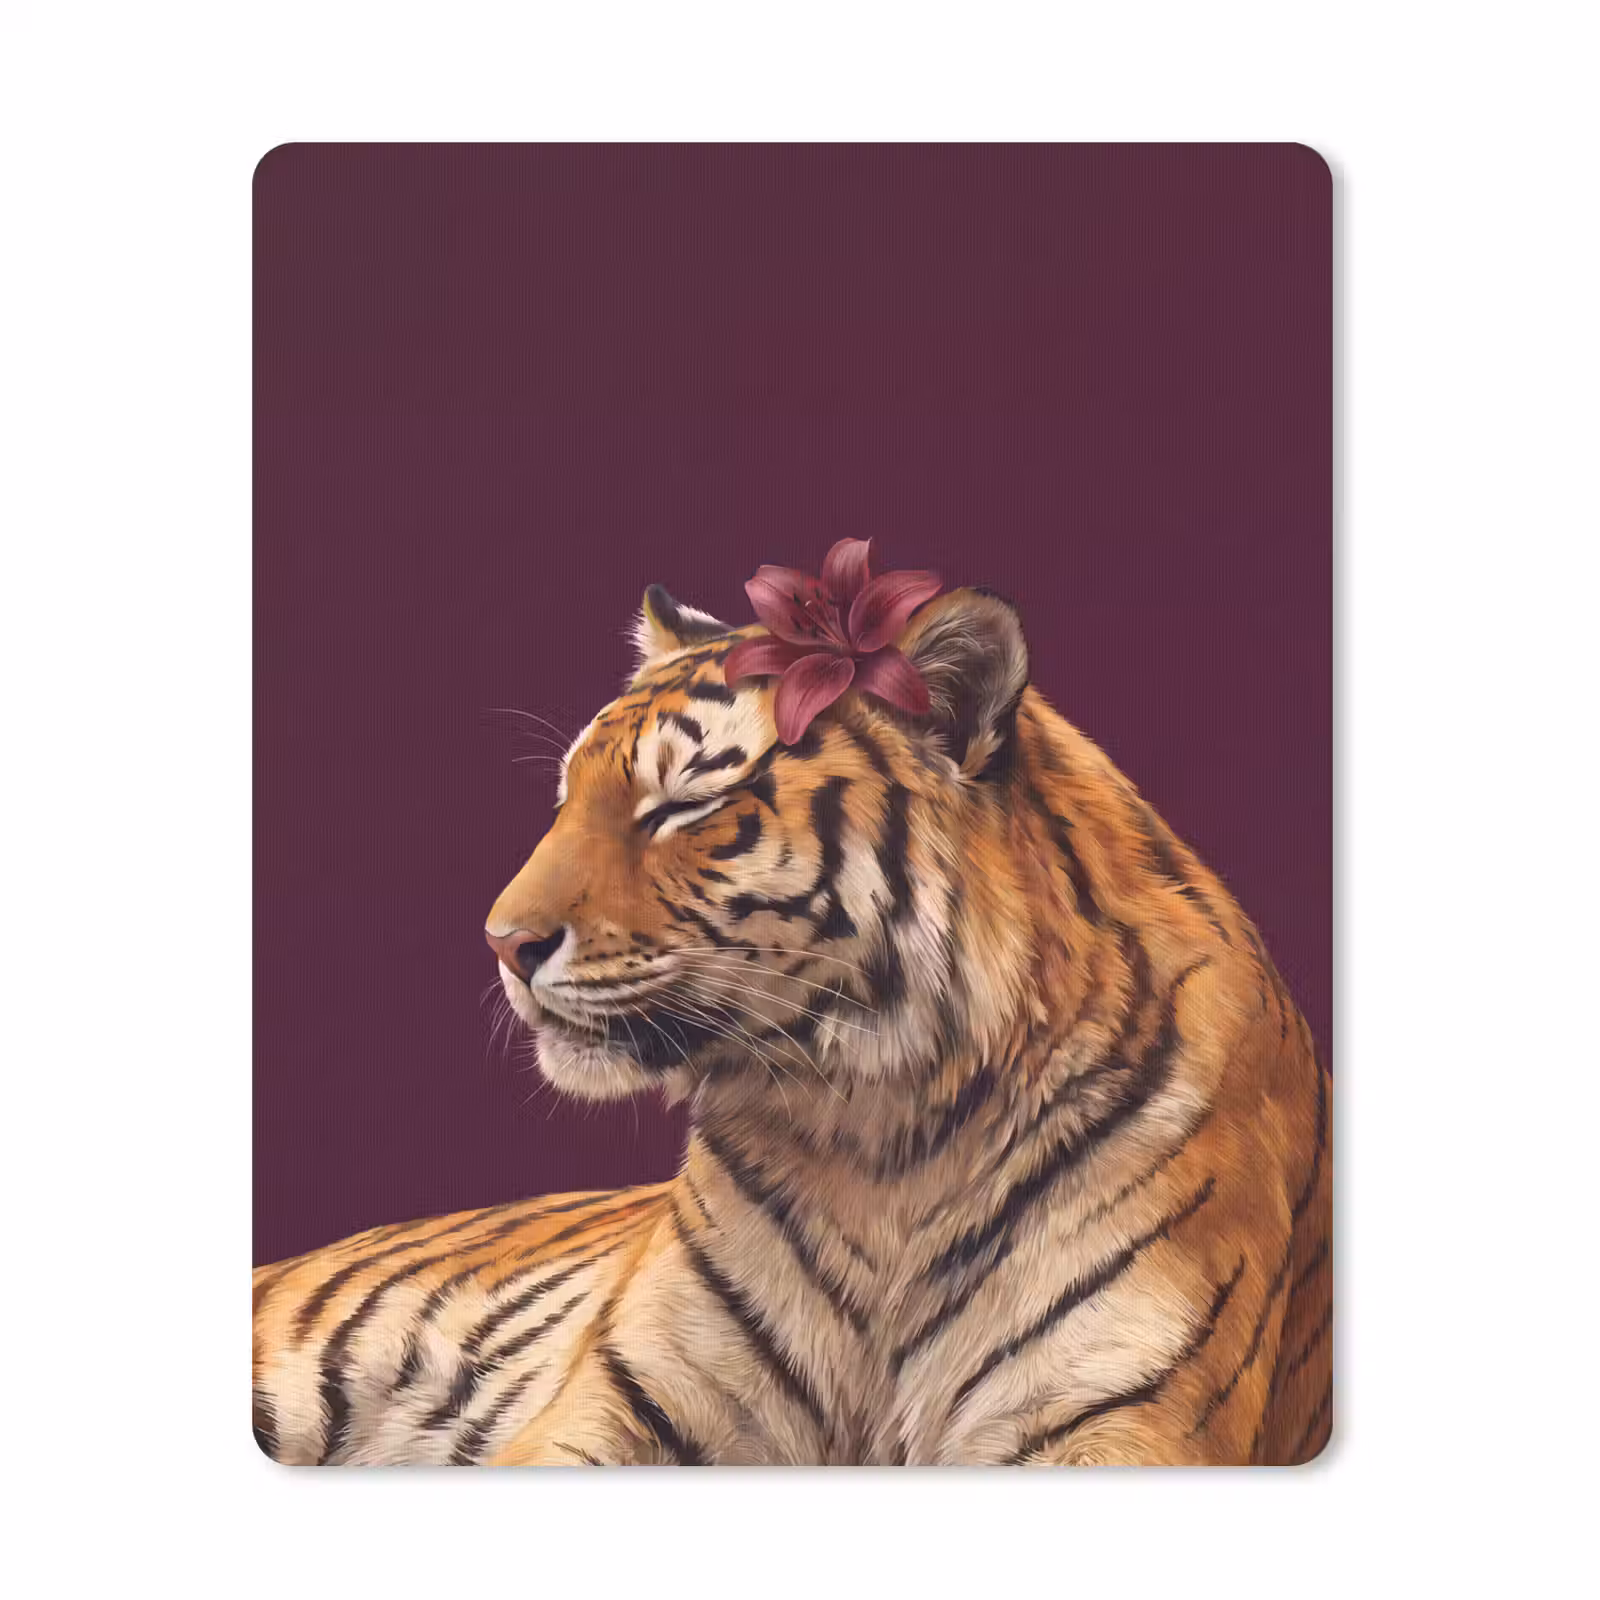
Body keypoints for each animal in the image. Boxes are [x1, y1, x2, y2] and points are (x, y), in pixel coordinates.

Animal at [253, 582, 1331, 1466]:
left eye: (682, 806)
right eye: (566, 799)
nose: (501, 942)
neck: (884, 1139)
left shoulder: (1116, 1413)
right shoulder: (627, 1397)